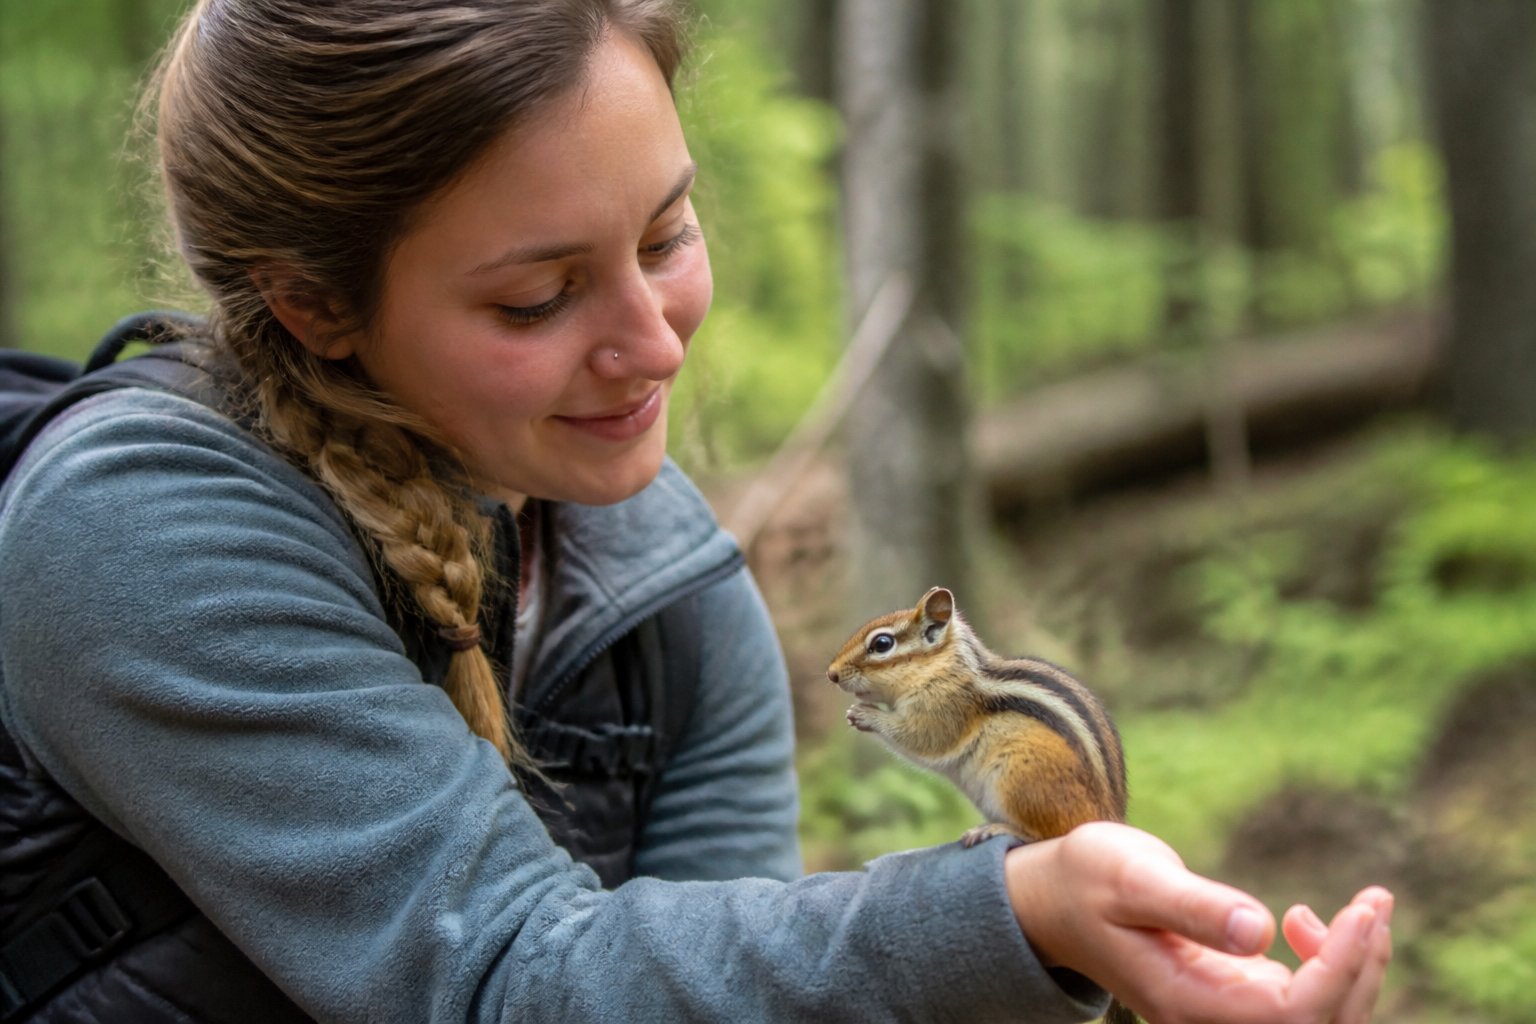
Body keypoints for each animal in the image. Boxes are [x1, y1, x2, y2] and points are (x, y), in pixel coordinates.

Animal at [827, 587, 1136, 1024]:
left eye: (882, 644)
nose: (832, 674)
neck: (943, 668)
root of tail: (1107, 817)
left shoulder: (943, 709)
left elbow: (921, 738)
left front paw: (867, 714)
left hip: (1019, 778)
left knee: (1044, 833)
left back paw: (998, 828)